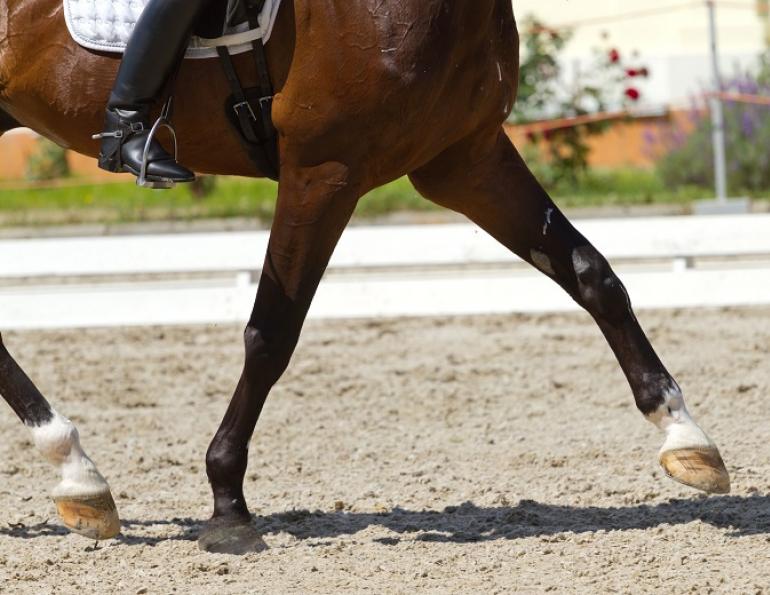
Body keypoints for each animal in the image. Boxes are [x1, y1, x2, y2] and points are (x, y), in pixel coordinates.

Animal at [0, 0, 730, 554]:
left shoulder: (465, 158)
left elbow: (592, 274)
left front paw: (685, 435)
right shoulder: (325, 168)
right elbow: (272, 333)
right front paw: (228, 505)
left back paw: (79, 477)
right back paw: (76, 468)